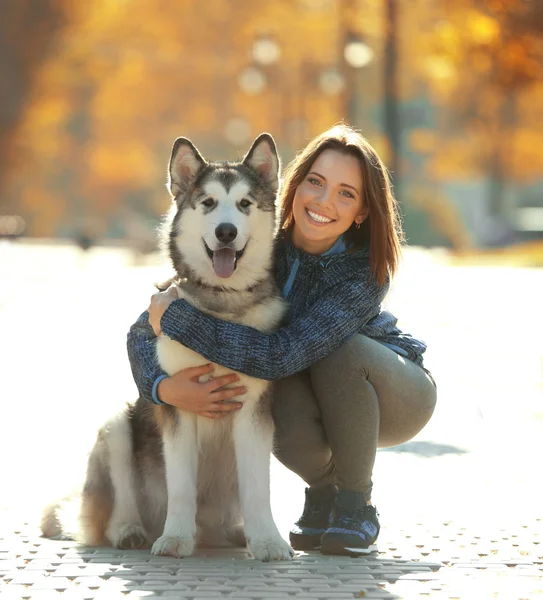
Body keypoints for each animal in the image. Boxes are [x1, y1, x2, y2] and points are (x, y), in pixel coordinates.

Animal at [40, 134, 296, 560]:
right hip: (116, 429)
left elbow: (258, 488)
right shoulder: (179, 401)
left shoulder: (254, 408)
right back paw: (131, 531)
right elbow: (180, 484)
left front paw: (267, 541)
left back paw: (236, 533)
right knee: (112, 514)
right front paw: (175, 537)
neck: (220, 309)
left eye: (245, 203)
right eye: (208, 202)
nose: (226, 232)